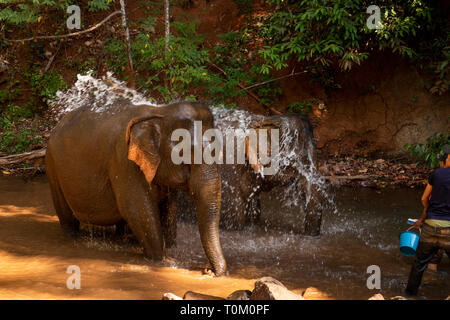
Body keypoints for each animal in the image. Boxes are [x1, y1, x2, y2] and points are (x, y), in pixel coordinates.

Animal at [45, 100, 225, 276]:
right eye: (187, 152)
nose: (208, 270)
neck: (160, 113)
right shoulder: (124, 161)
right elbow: (137, 210)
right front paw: (165, 261)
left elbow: (168, 208)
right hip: (52, 166)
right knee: (66, 216)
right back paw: (73, 238)